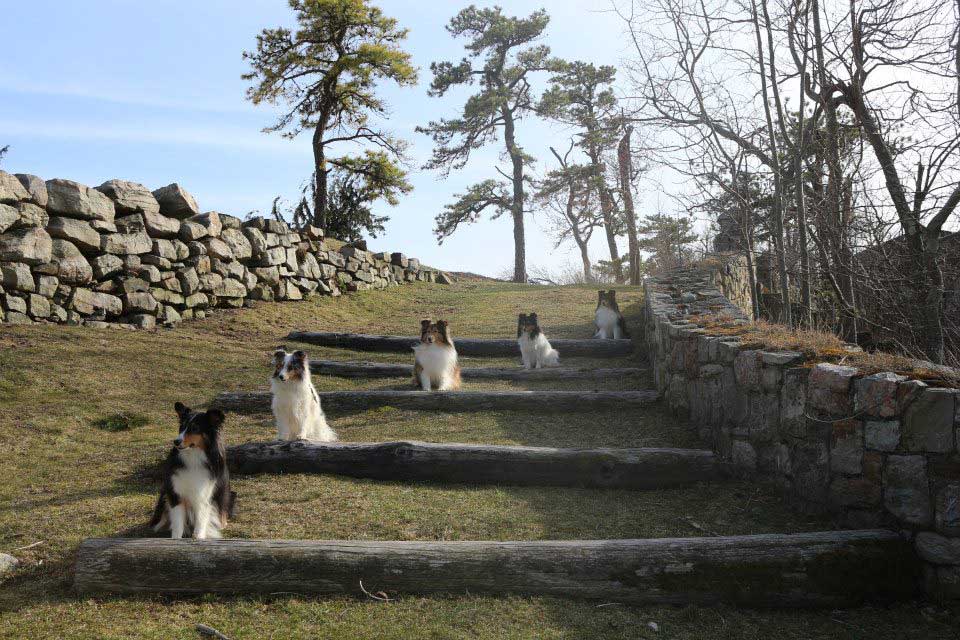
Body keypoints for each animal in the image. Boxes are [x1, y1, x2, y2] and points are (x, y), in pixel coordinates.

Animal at [150, 402, 234, 536]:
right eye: (181, 427)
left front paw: (199, 537)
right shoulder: (176, 494)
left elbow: (200, 523)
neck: (193, 457)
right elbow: (178, 525)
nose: (176, 441)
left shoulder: (203, 496)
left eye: (195, 428)